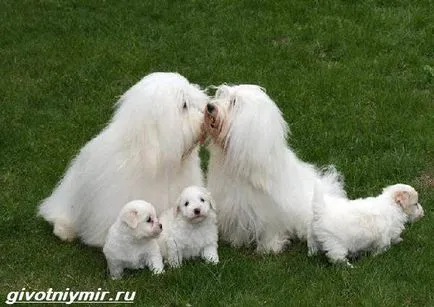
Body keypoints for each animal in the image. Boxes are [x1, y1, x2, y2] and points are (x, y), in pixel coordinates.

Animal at [203, 85, 346, 255]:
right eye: (221, 96)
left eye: (234, 102)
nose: (210, 106)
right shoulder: (235, 205)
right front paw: (236, 241)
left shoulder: (270, 209)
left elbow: (270, 229)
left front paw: (269, 248)